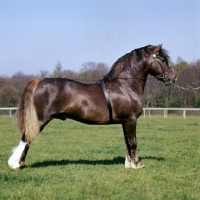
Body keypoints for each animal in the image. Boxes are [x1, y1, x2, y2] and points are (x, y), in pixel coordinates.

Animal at [8, 43, 177, 169]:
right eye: (162, 60)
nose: (173, 77)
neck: (125, 85)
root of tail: (41, 81)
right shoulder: (131, 120)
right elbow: (133, 141)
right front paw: (137, 164)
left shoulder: (125, 121)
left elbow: (127, 142)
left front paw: (129, 164)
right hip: (40, 120)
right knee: (26, 138)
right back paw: (16, 164)